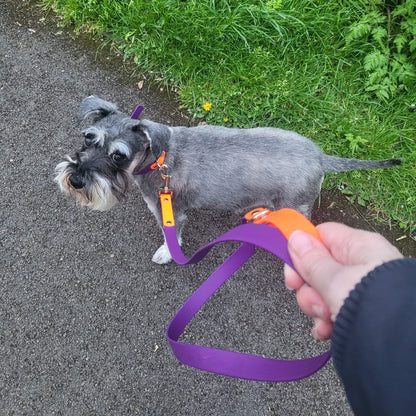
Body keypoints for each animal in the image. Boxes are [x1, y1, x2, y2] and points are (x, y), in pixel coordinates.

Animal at [54, 96, 400, 264]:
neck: (157, 159)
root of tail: (320, 157)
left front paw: (167, 254)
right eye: (88, 138)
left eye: (118, 156)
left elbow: (172, 236)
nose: (76, 180)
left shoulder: (170, 211)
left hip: (296, 206)